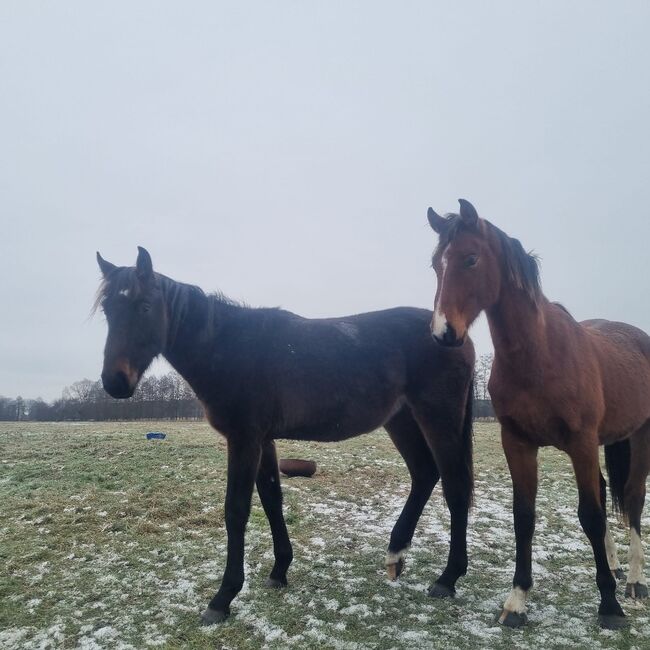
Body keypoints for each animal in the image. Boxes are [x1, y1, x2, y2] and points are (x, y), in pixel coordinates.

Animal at [93, 247, 474, 624]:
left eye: (144, 306)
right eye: (108, 310)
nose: (115, 382)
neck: (229, 346)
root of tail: (454, 335)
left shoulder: (244, 439)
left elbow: (236, 510)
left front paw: (223, 598)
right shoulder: (263, 441)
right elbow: (271, 499)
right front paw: (279, 571)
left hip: (438, 419)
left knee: (455, 488)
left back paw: (448, 578)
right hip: (402, 422)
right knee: (424, 474)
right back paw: (396, 555)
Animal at [426, 199, 648, 628]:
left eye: (471, 259)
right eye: (434, 264)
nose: (443, 333)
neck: (540, 355)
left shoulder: (580, 443)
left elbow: (591, 516)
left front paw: (609, 607)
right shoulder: (518, 443)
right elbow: (524, 516)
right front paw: (517, 600)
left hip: (640, 438)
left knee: (632, 499)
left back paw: (632, 582)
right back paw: (614, 569)